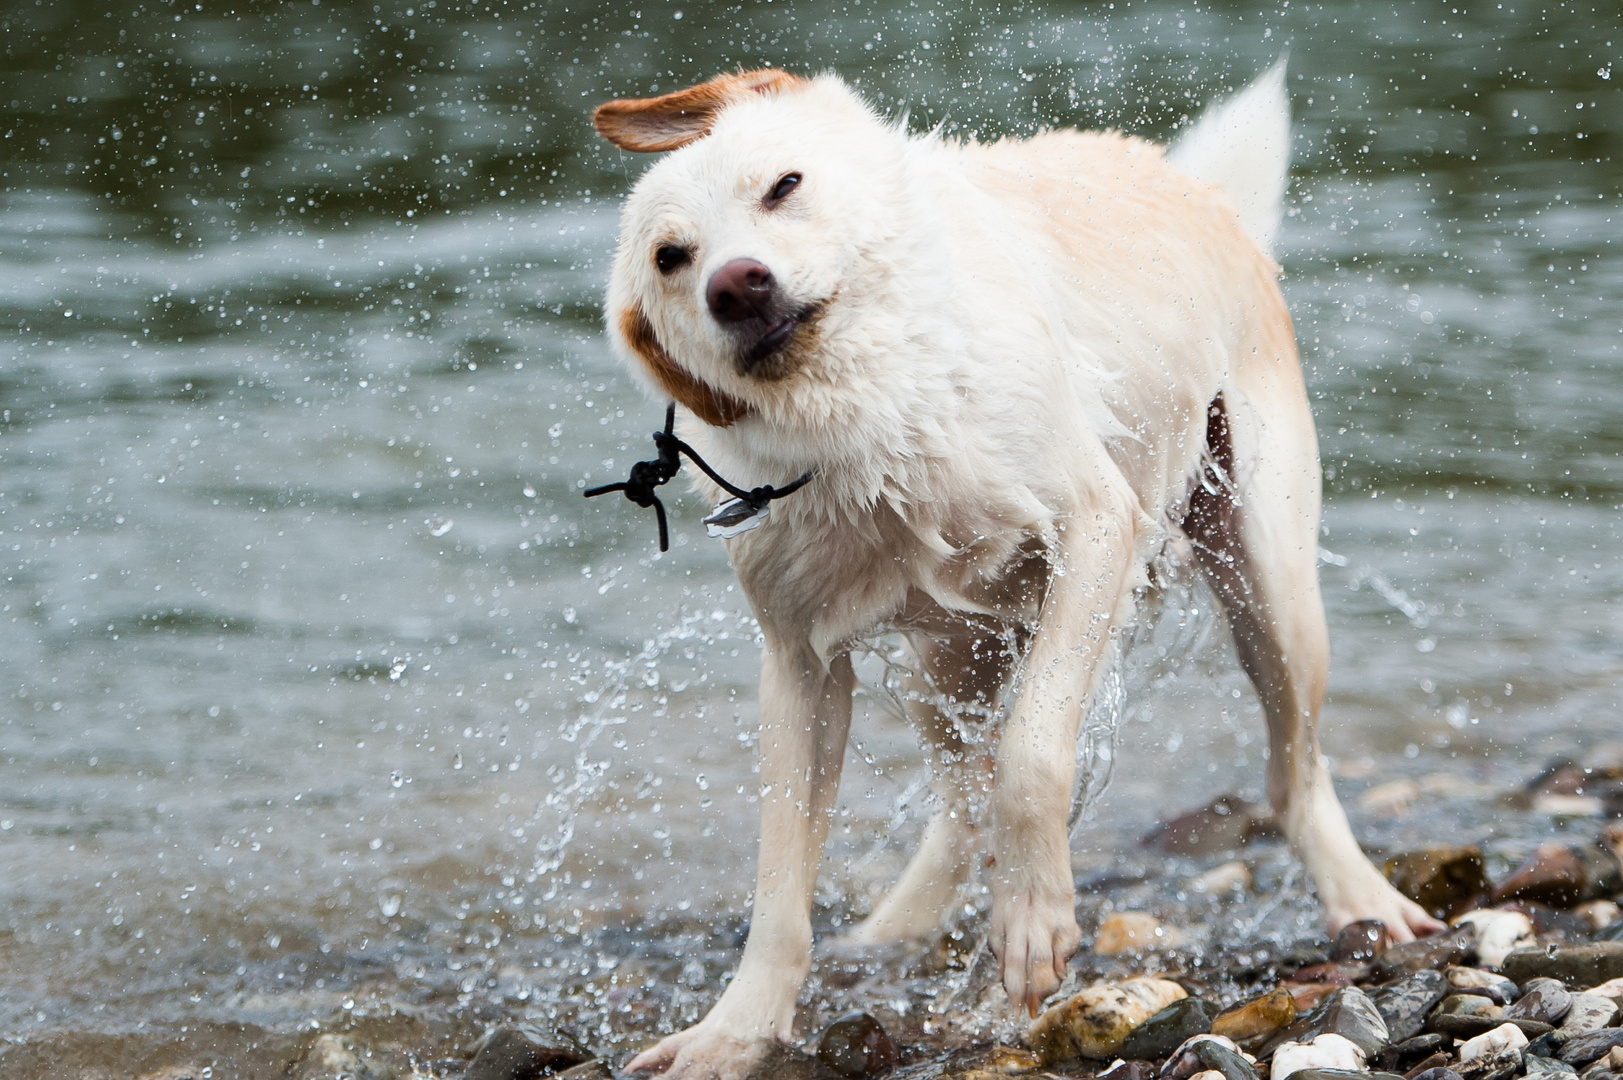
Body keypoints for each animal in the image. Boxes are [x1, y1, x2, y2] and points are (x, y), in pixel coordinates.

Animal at [587, 63, 1447, 1071]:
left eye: (783, 186)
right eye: (670, 258)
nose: (736, 284)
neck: (874, 417)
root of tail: (1186, 183)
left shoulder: (1095, 528)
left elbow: (1033, 753)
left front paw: (1032, 924)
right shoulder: (797, 667)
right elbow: (780, 882)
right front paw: (735, 1033)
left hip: (1268, 583)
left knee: (1291, 771)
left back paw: (1362, 900)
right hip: (945, 663)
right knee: (958, 805)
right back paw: (894, 928)